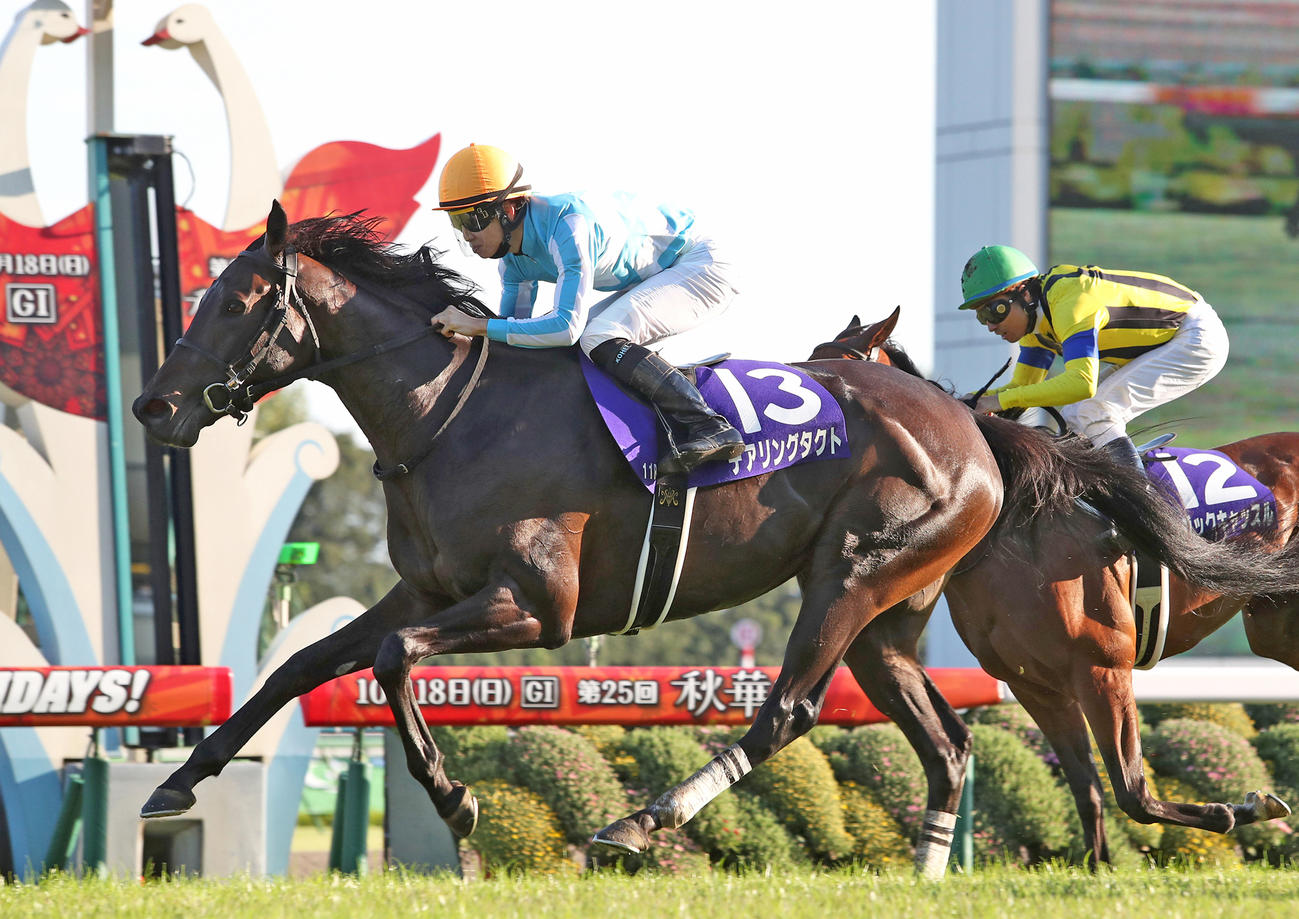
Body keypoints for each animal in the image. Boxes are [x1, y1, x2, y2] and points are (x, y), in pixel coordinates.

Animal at [809, 311, 1299, 867]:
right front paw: (1102, 864)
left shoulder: (1102, 667)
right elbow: (1089, 789)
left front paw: (1238, 809)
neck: (1016, 526)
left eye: (838, 378)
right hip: (1275, 626)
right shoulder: (1035, 685)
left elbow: (1134, 793)